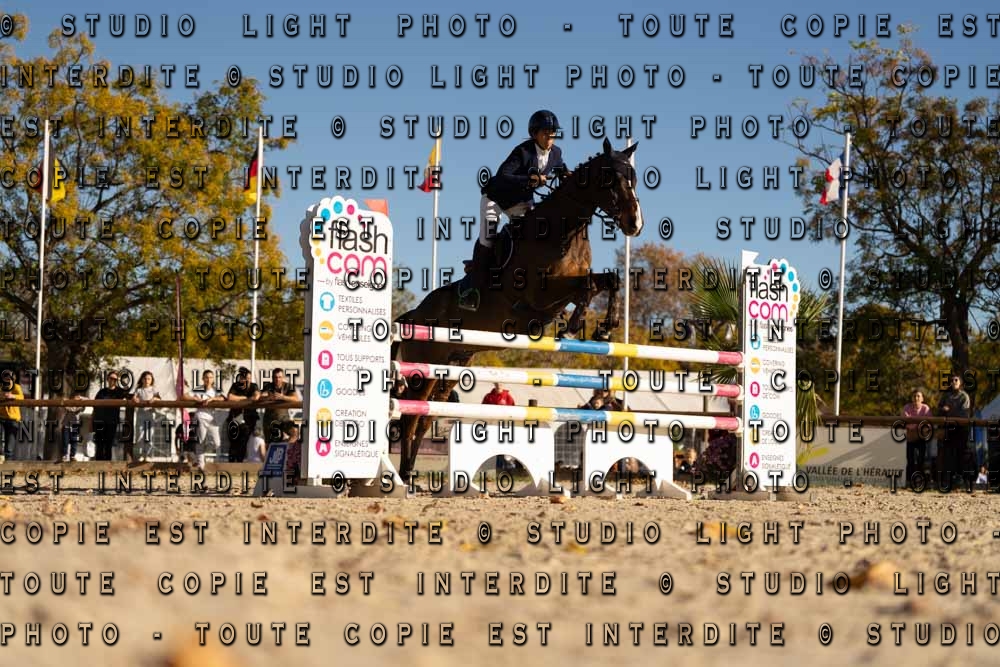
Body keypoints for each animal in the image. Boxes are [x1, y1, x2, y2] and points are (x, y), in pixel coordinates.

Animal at [391, 137, 644, 479]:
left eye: (633, 178)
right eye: (611, 179)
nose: (635, 223)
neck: (561, 231)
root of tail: (413, 315)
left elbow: (608, 280)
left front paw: (605, 326)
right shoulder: (539, 297)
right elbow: (587, 287)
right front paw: (575, 324)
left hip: (450, 368)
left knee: (426, 417)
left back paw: (409, 475)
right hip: (423, 368)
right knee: (410, 416)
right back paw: (403, 477)